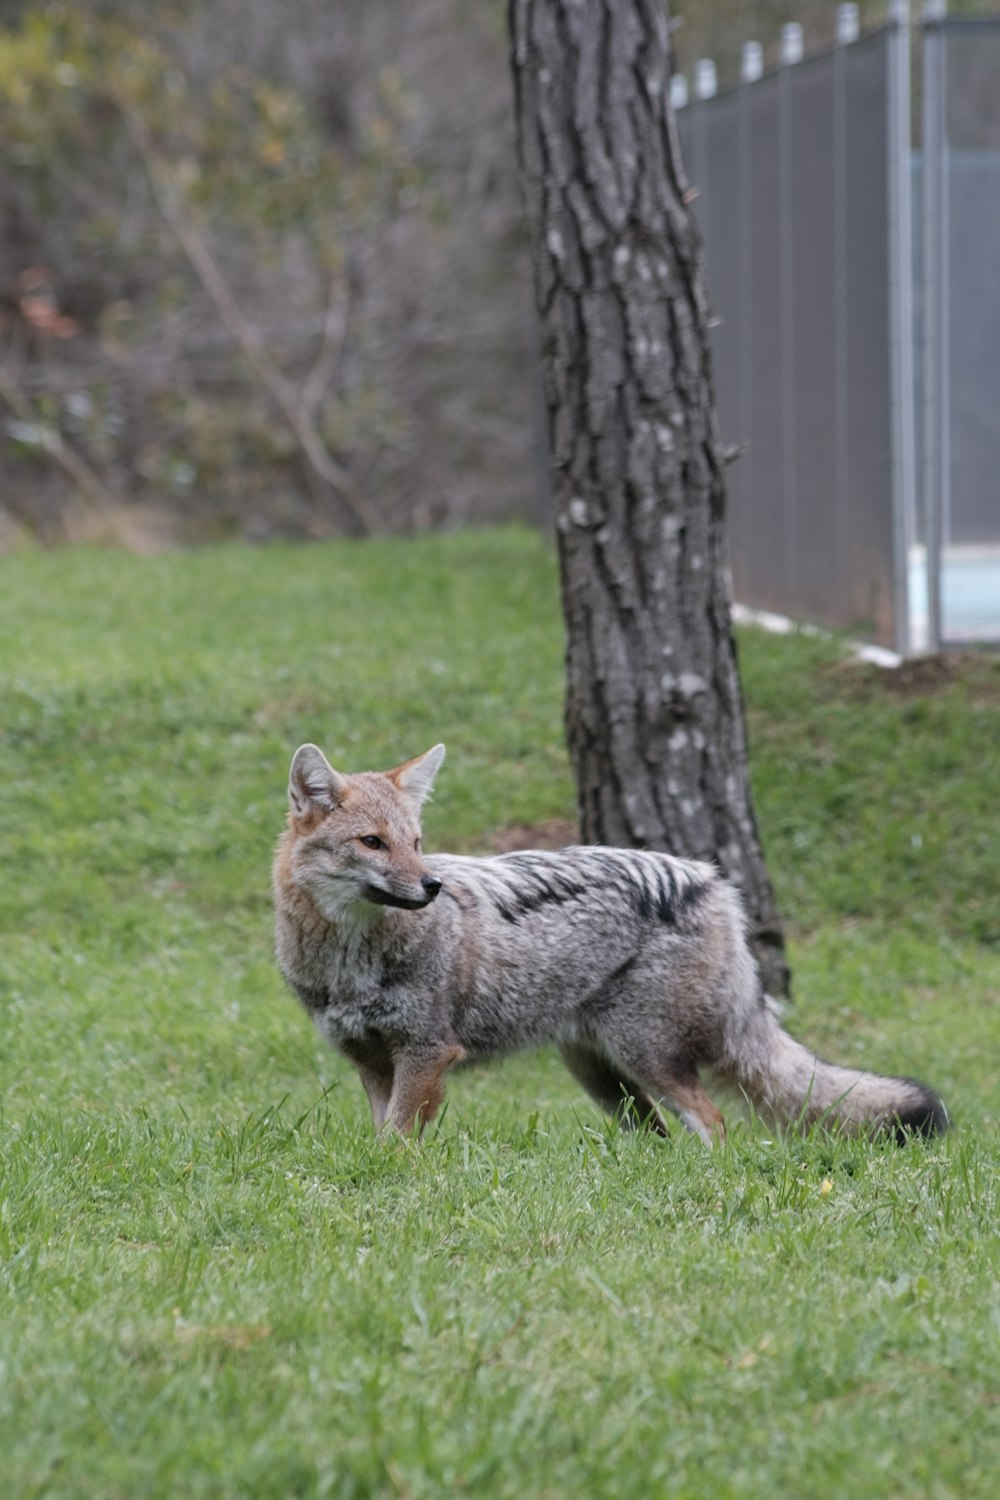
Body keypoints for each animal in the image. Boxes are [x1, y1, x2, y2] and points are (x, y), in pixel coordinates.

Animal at [271, 744, 947, 1140]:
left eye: (415, 843)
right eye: (374, 843)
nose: (433, 886)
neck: (348, 962)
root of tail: (710, 880)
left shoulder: (427, 1053)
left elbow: (396, 1141)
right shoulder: (371, 1061)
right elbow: (381, 1135)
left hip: (646, 1058)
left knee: (714, 1122)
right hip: (604, 1077)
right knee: (657, 1137)